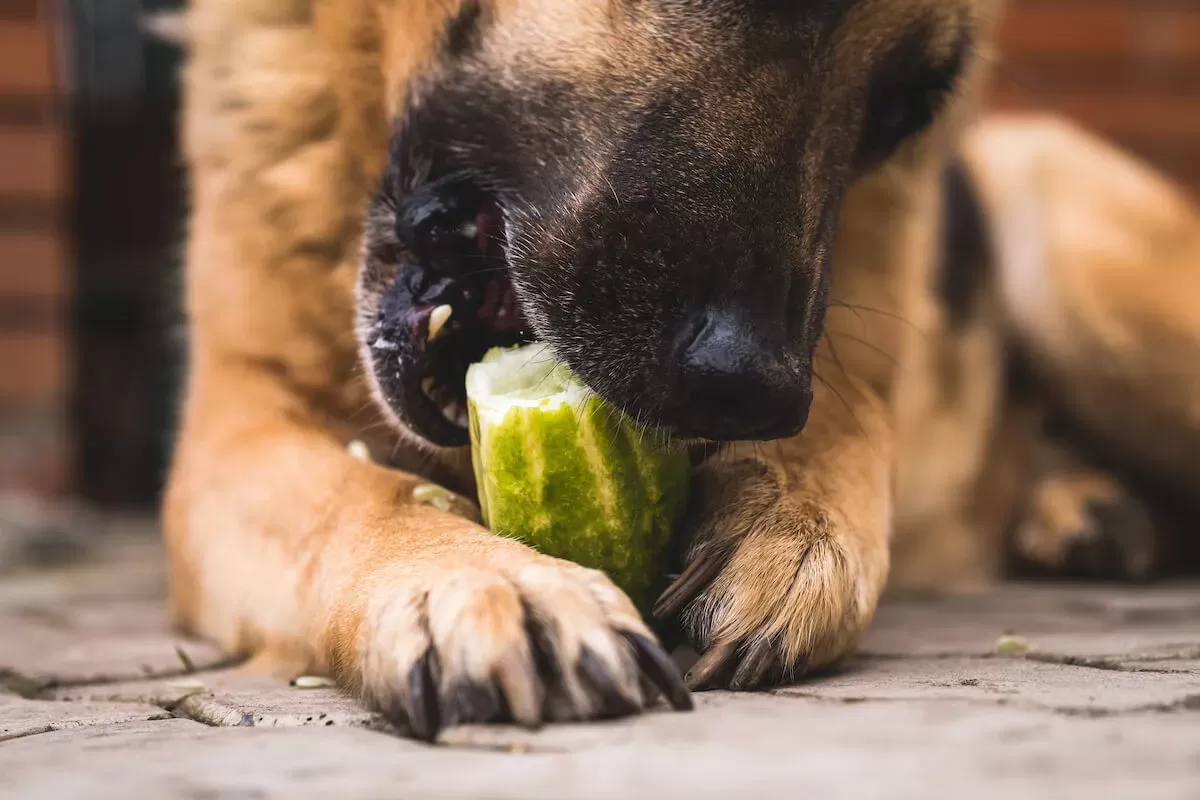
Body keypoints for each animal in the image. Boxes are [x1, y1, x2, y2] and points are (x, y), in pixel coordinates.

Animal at [162, 0, 1200, 743]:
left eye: (904, 109)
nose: (759, 389)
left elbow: (855, 421)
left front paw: (791, 518)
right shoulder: (232, 433)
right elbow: (365, 491)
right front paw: (481, 577)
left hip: (1091, 278)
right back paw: (1080, 507)